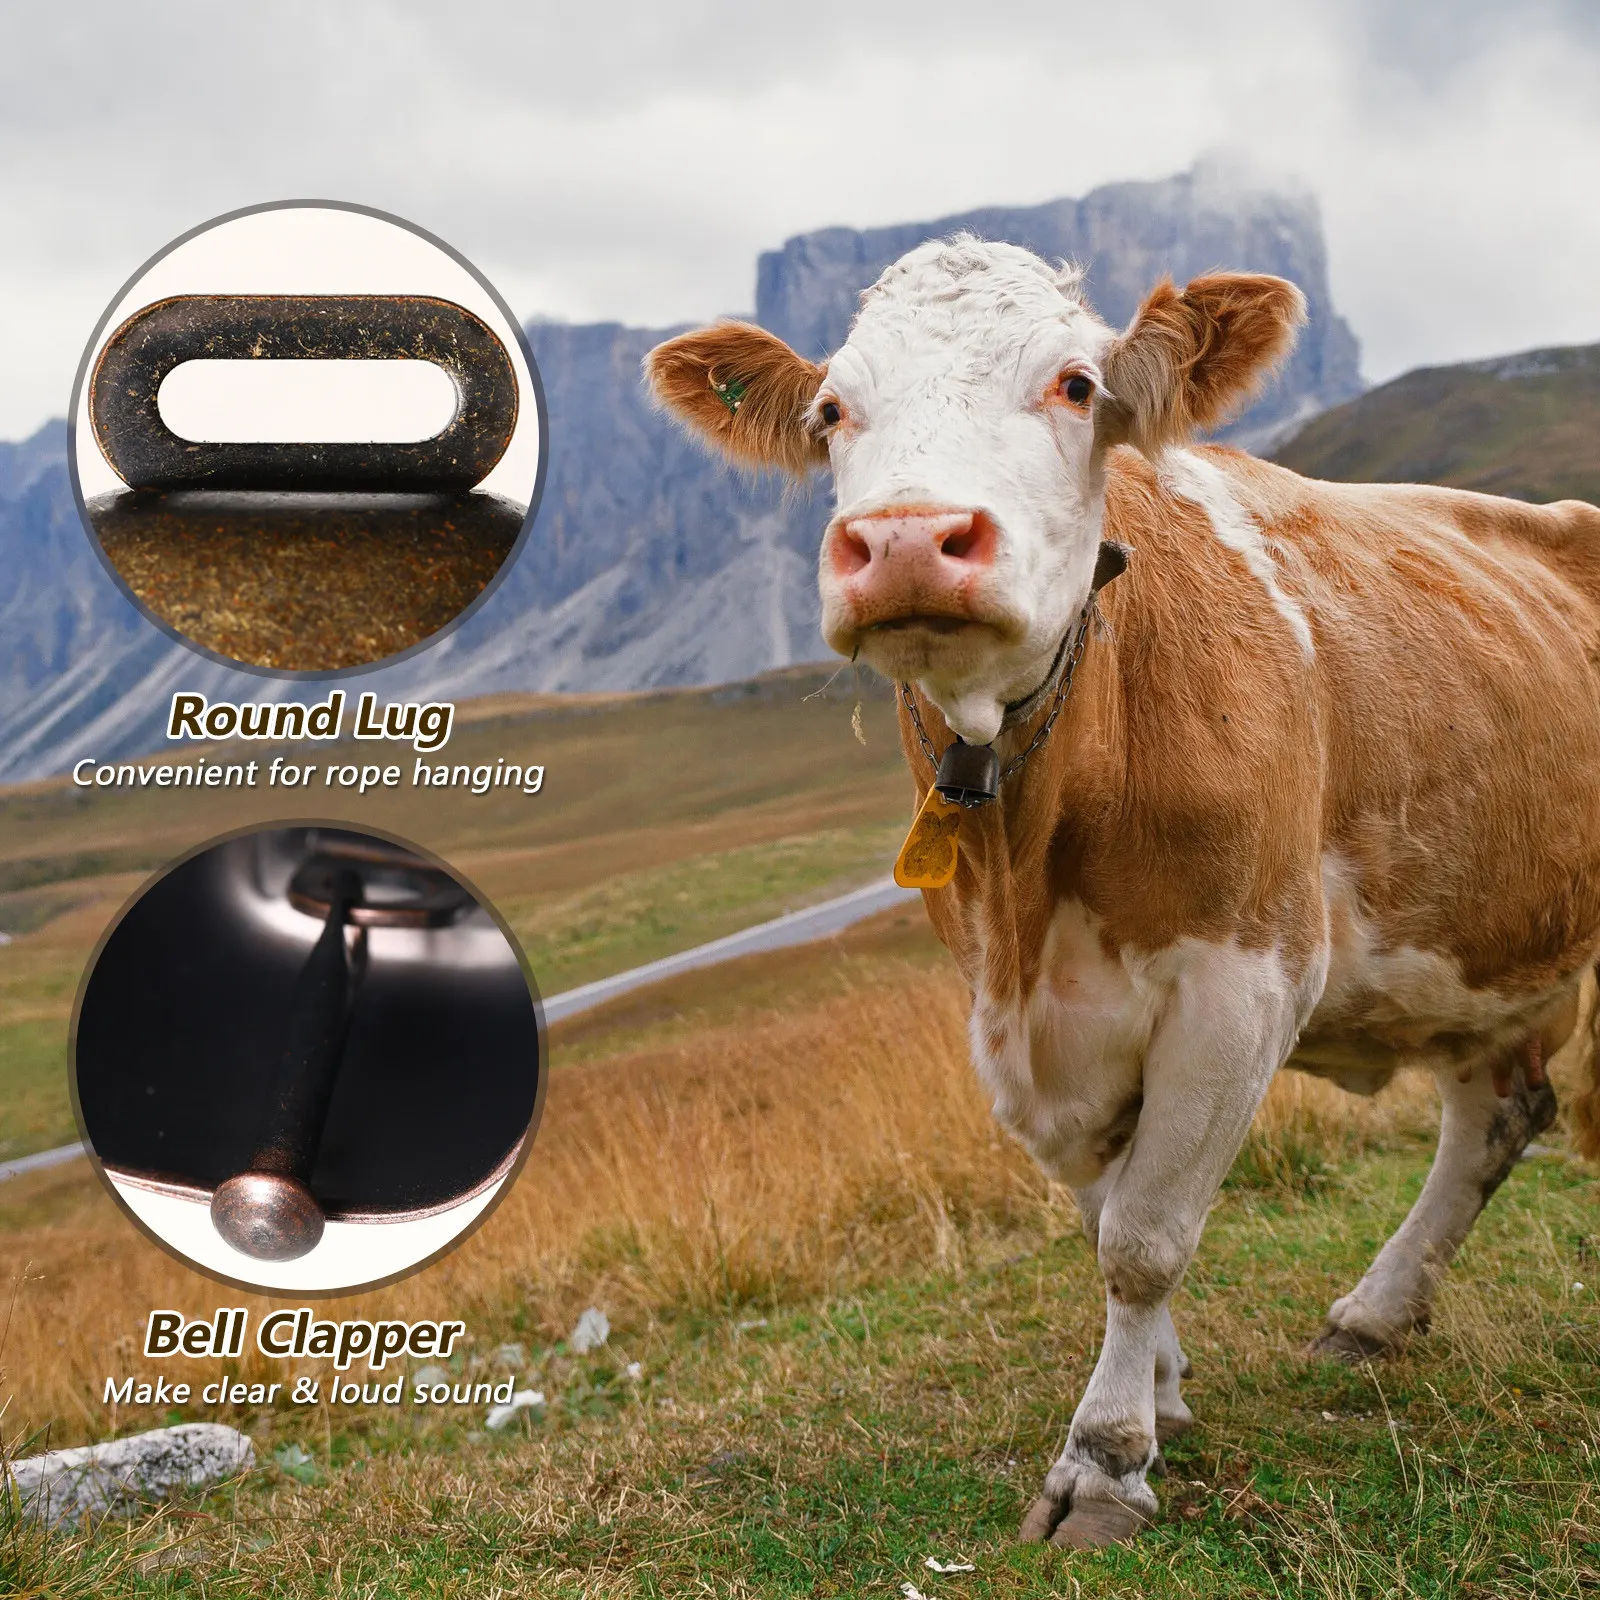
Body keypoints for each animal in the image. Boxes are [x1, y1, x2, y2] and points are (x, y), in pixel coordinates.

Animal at [643, 237, 1600, 1548]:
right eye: (832, 410)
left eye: (1076, 385)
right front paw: (1162, 1385)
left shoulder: (1244, 979)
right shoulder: (1012, 1018)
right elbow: (1105, 1216)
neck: (1030, 867)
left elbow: (1145, 1237)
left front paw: (1104, 1459)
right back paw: (1373, 1313)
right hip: (1487, 952)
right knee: (1495, 1113)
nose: (908, 540)